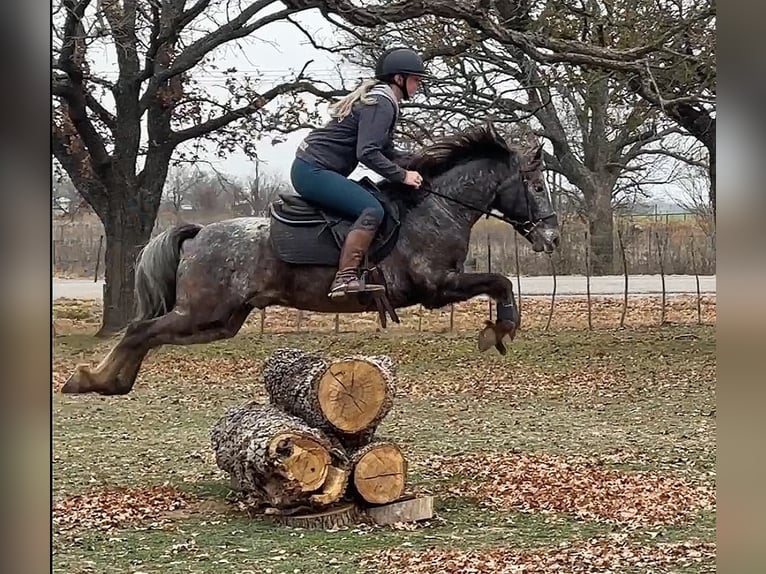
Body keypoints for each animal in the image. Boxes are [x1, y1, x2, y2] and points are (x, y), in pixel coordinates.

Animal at [60, 124, 560, 398]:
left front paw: (501, 328)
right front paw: (502, 328)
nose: (552, 237)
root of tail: (201, 232)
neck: (437, 207)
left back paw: (107, 382)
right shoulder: (437, 287)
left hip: (220, 321)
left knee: (150, 336)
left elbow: (499, 282)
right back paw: (91, 380)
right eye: (537, 187)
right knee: (139, 330)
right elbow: (500, 281)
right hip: (202, 311)